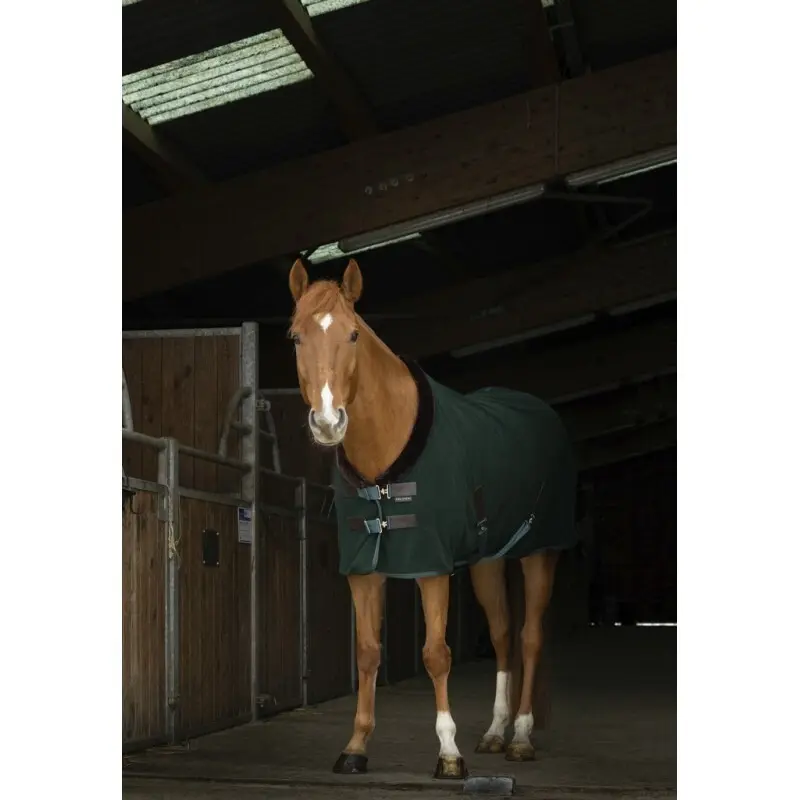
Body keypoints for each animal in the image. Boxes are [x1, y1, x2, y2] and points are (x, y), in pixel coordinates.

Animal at [287, 258, 577, 779]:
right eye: (296, 336)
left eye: (352, 334)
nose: (328, 422)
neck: (385, 463)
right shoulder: (363, 571)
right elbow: (367, 653)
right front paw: (356, 747)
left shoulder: (431, 567)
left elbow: (436, 655)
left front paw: (448, 752)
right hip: (487, 562)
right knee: (502, 636)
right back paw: (495, 733)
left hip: (540, 552)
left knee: (529, 638)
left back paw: (521, 737)